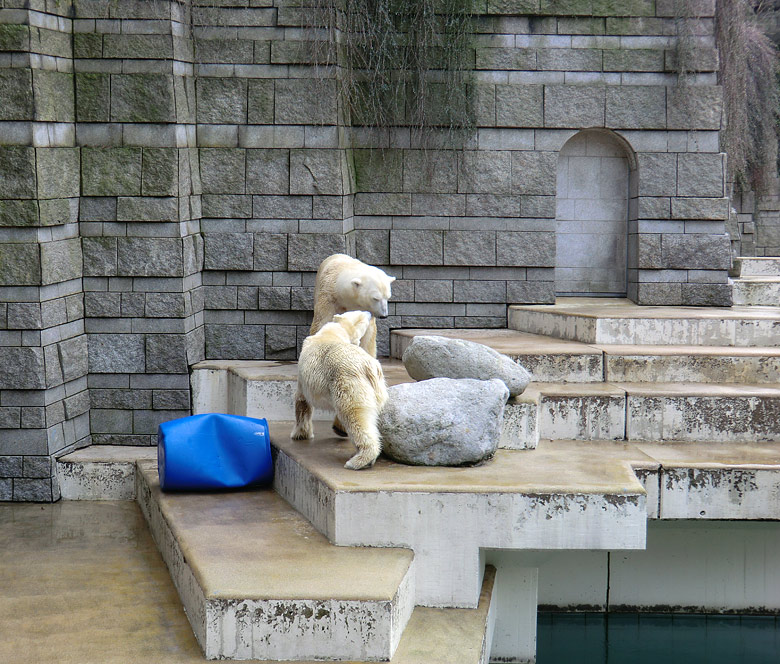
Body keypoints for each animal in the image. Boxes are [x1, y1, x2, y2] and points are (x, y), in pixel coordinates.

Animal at [290, 312, 388, 472]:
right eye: (361, 314)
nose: (369, 314)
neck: (331, 334)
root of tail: (370, 367)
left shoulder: (303, 379)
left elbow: (302, 402)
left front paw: (300, 434)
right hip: (378, 388)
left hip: (349, 383)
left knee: (354, 415)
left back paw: (357, 461)